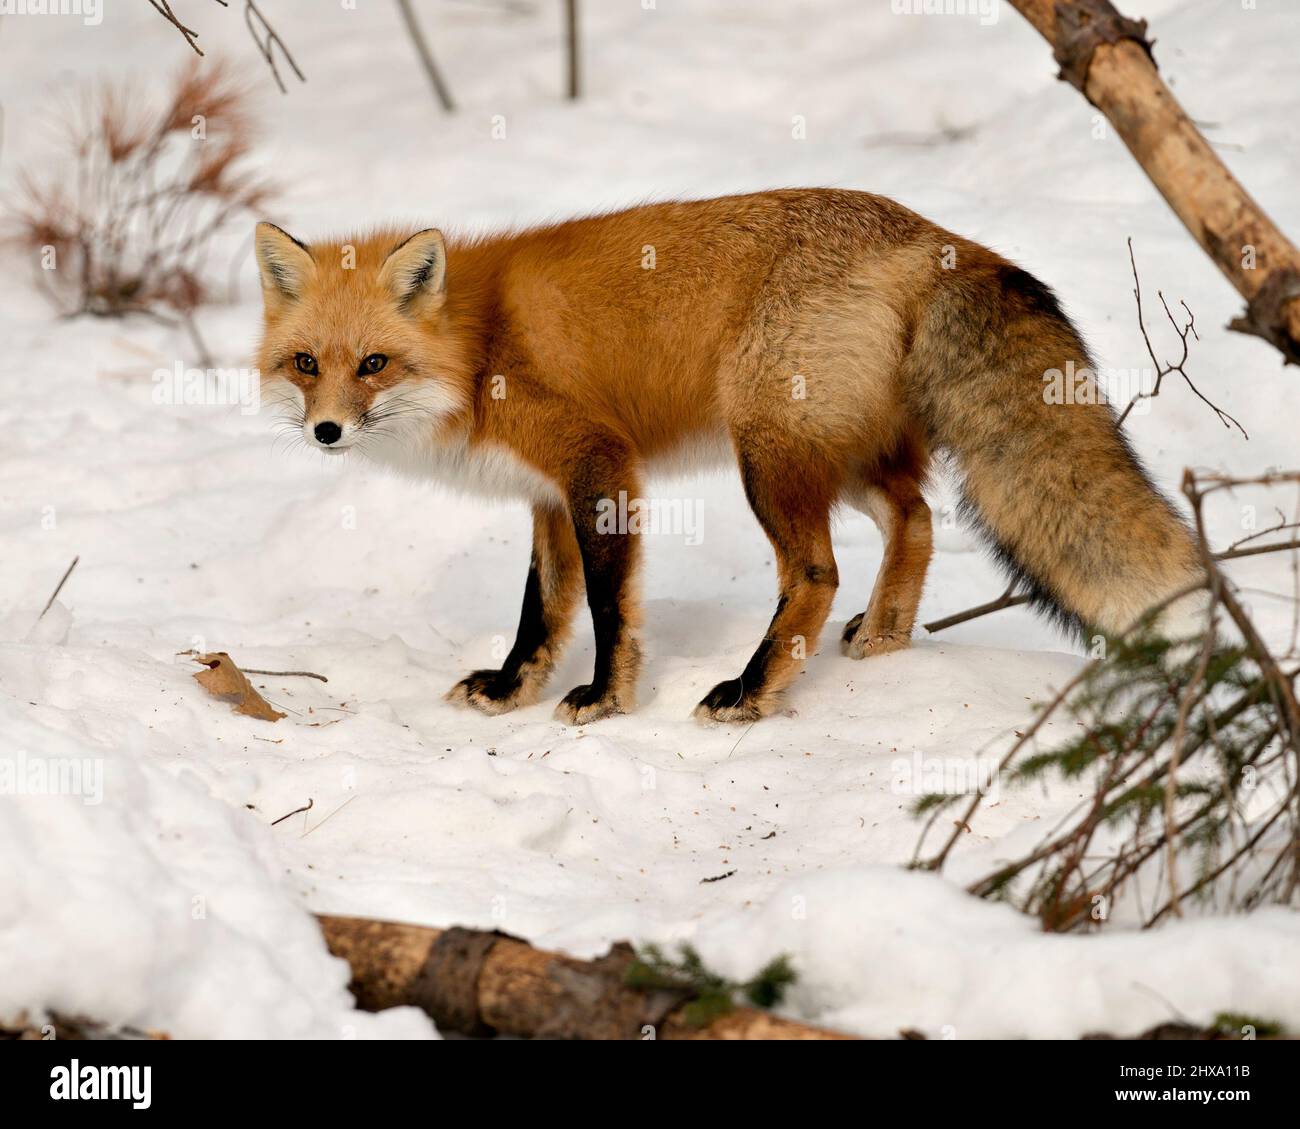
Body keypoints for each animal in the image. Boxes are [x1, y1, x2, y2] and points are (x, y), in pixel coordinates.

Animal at [256, 188, 1206, 723]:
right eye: (305, 364)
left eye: (374, 364)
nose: (326, 431)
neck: (481, 345)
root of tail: (934, 235)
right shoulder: (547, 494)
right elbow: (542, 608)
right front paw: (509, 688)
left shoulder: (598, 463)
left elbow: (606, 605)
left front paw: (606, 698)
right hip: (838, 452)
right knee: (917, 517)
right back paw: (884, 637)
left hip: (770, 455)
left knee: (817, 573)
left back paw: (751, 691)